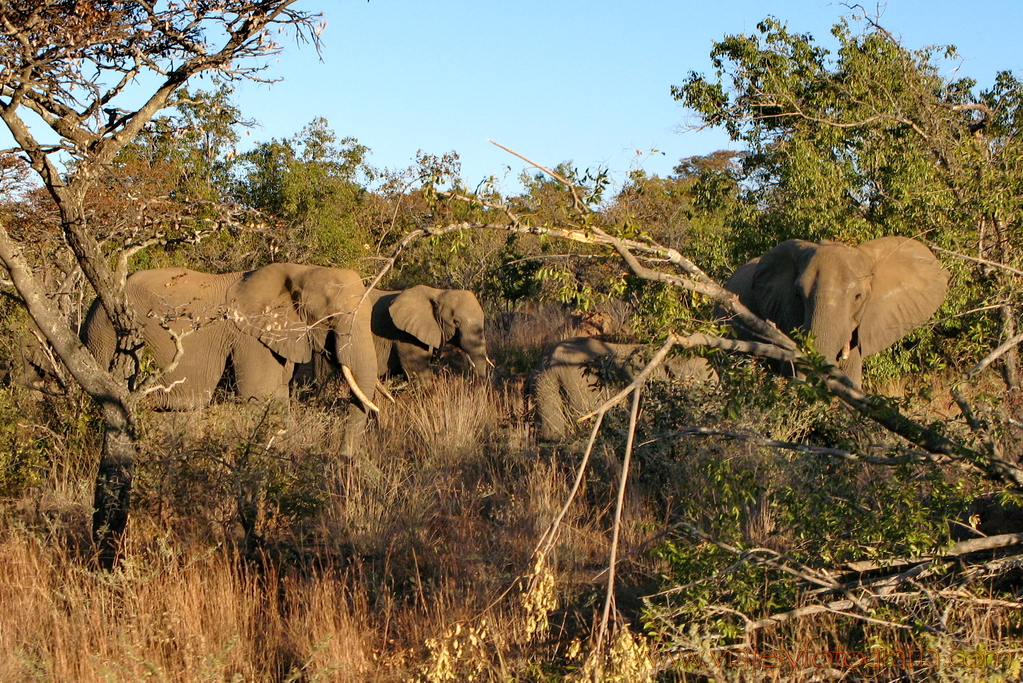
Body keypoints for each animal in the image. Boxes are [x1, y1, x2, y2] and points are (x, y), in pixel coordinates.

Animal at [81, 265, 380, 447]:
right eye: (332, 319)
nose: (342, 458)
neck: (300, 270)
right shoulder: (249, 336)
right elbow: (258, 396)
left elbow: (279, 396)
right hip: (106, 335)